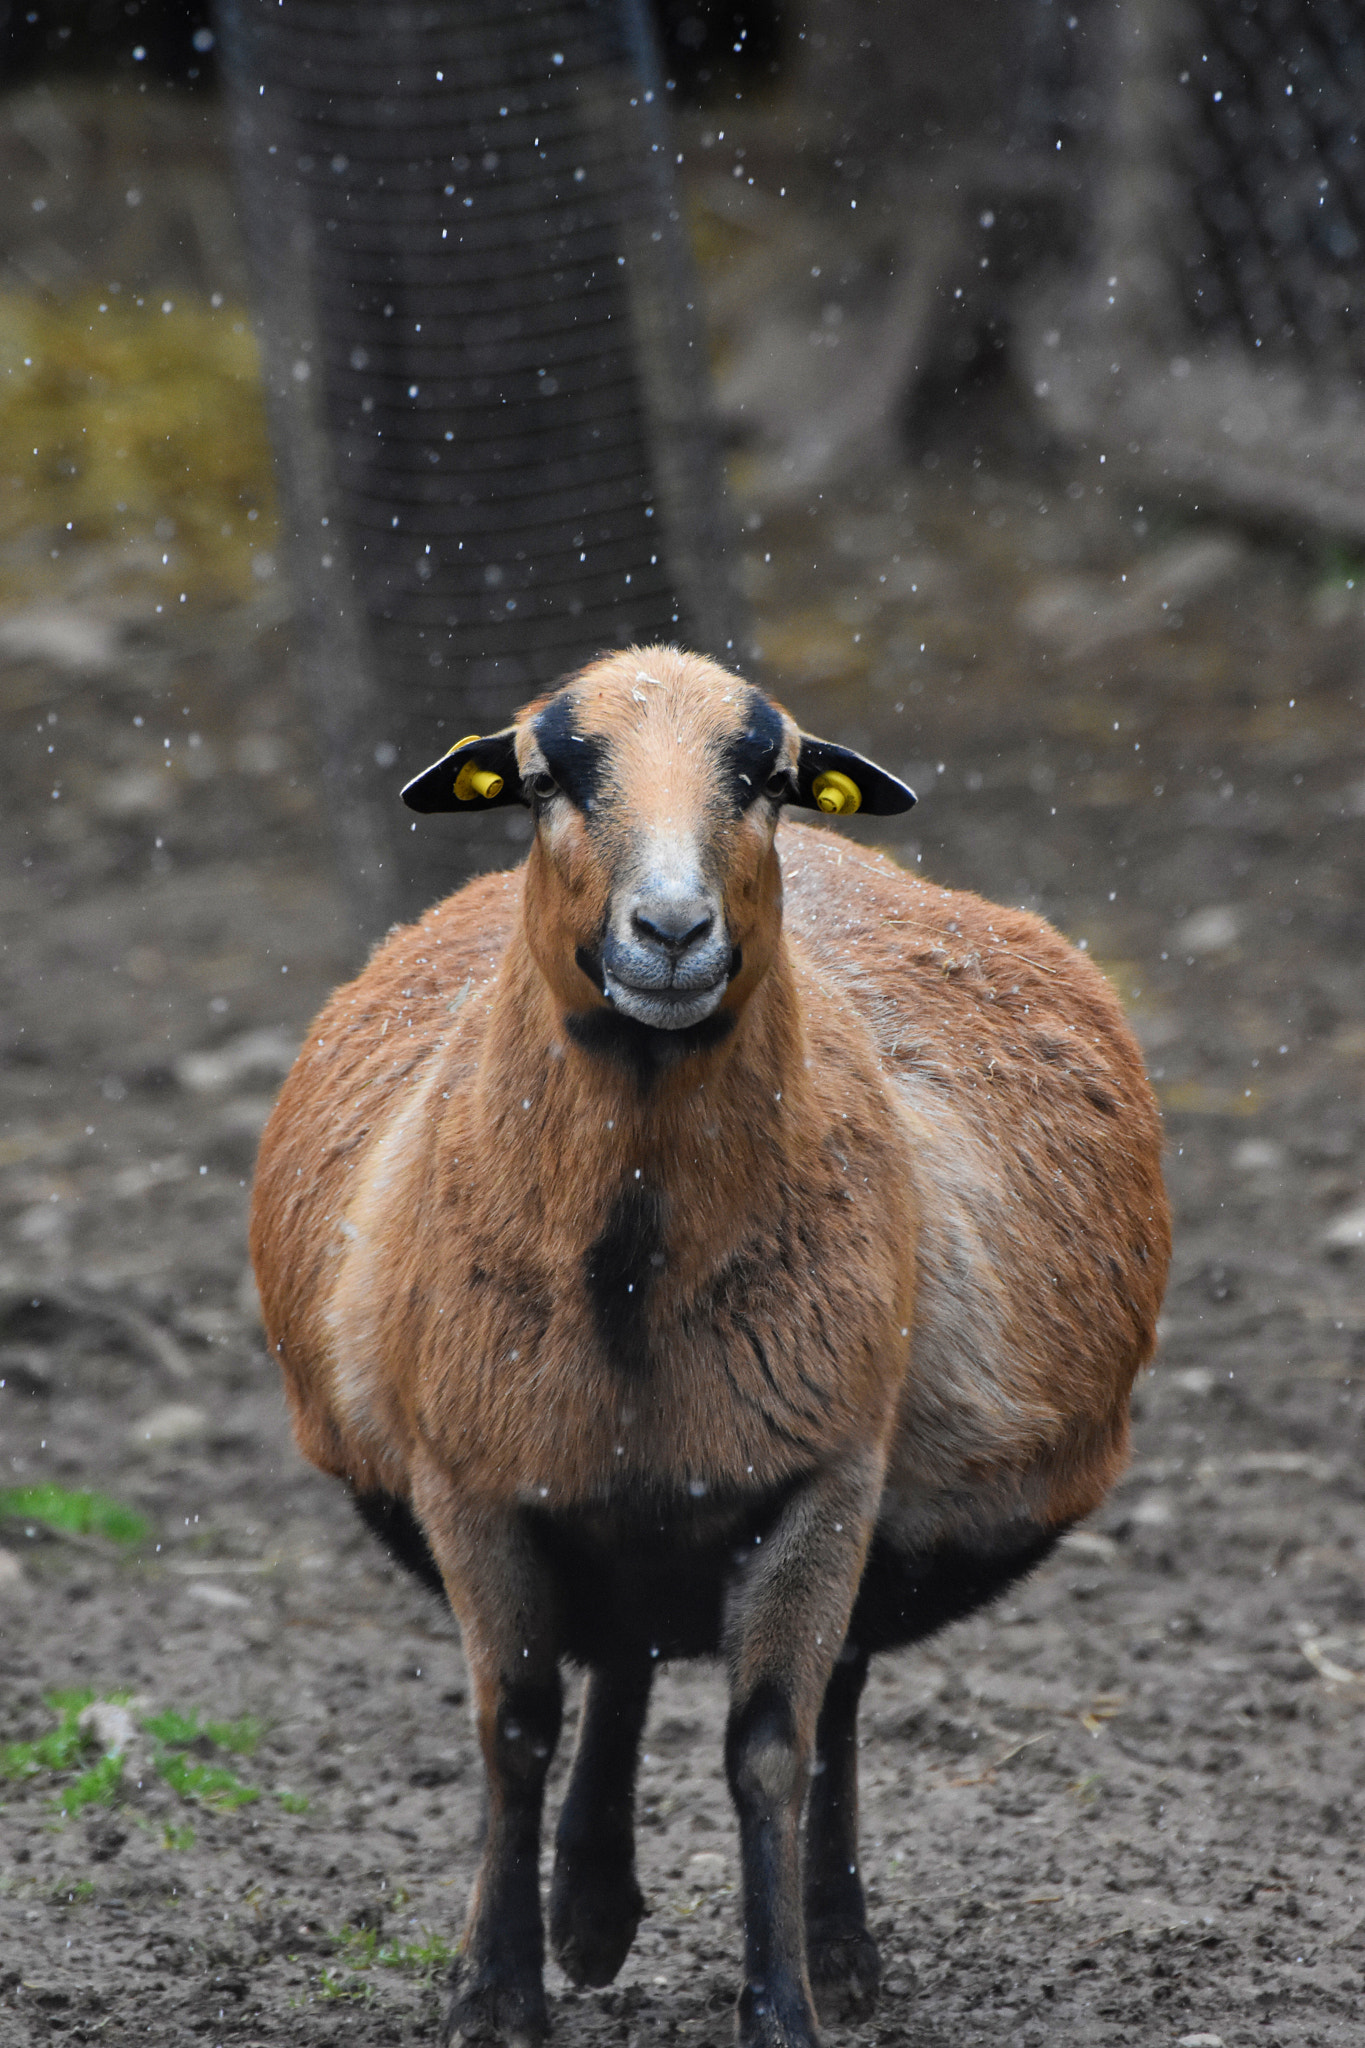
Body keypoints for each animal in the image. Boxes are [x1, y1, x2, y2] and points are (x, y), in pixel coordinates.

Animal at [250, 644, 1170, 2048]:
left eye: (769, 776)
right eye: (546, 777)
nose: (675, 931)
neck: (633, 1269)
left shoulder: (823, 1477)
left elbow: (772, 1745)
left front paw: (782, 2000)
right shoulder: (470, 1481)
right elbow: (515, 1727)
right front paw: (495, 1987)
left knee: (817, 1695)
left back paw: (827, 1947)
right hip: (602, 1484)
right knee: (621, 1651)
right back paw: (588, 1912)